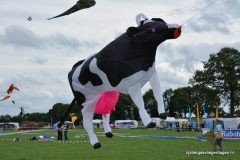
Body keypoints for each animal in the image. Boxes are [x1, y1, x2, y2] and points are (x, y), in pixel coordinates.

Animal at [68, 13, 181, 149]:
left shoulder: (151, 73)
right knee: (86, 120)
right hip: (87, 100)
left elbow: (158, 94)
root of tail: (74, 67)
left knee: (105, 114)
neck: (146, 57)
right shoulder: (132, 83)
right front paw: (149, 122)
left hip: (109, 95)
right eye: (152, 29)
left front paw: (162, 113)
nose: (177, 27)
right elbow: (140, 103)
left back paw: (108, 133)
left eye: (162, 22)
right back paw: (95, 142)